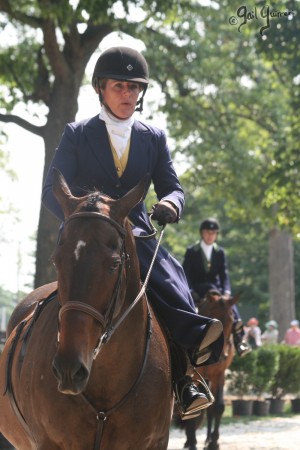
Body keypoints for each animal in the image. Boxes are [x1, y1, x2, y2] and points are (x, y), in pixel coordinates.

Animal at [182, 292, 238, 450]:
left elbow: (218, 407)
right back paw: (189, 440)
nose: (221, 356)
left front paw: (214, 442)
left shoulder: (219, 375)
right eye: (213, 316)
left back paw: (207, 439)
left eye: (232, 321)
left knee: (210, 410)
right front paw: (193, 443)